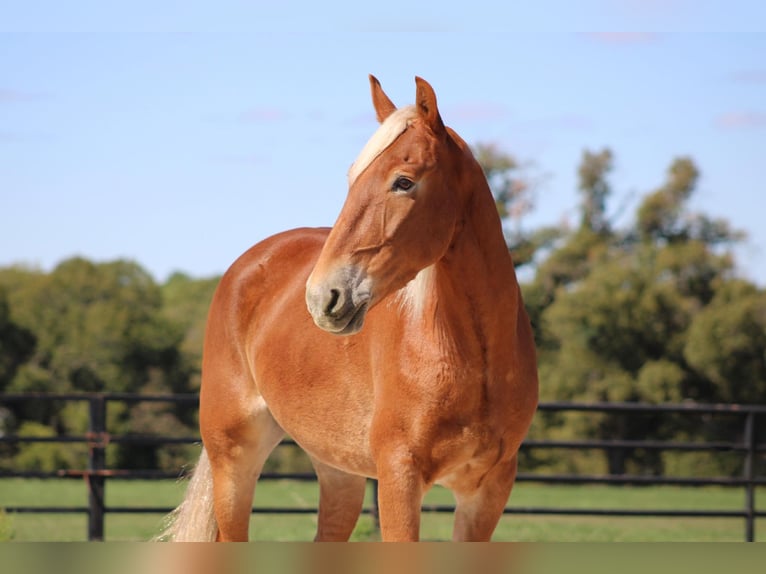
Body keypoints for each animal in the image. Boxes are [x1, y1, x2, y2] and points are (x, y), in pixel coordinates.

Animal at [164, 74, 540, 544]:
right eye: (353, 177)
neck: (471, 357)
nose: (322, 296)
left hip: (337, 472)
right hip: (233, 457)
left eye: (403, 181)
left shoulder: (486, 491)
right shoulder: (399, 477)